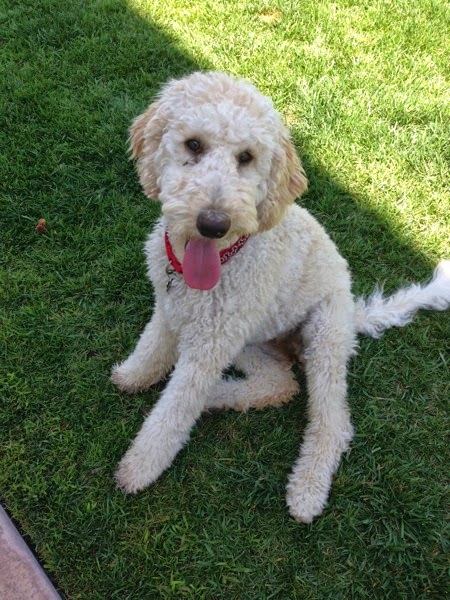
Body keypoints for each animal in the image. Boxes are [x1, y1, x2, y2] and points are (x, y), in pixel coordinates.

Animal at [111, 71, 450, 523]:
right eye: (193, 145)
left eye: (247, 157)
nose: (214, 223)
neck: (212, 263)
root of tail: (352, 316)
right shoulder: (172, 311)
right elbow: (152, 350)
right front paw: (134, 376)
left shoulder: (209, 345)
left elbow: (174, 411)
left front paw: (139, 467)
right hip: (249, 339)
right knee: (278, 384)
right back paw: (218, 397)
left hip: (323, 337)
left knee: (331, 422)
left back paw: (306, 489)